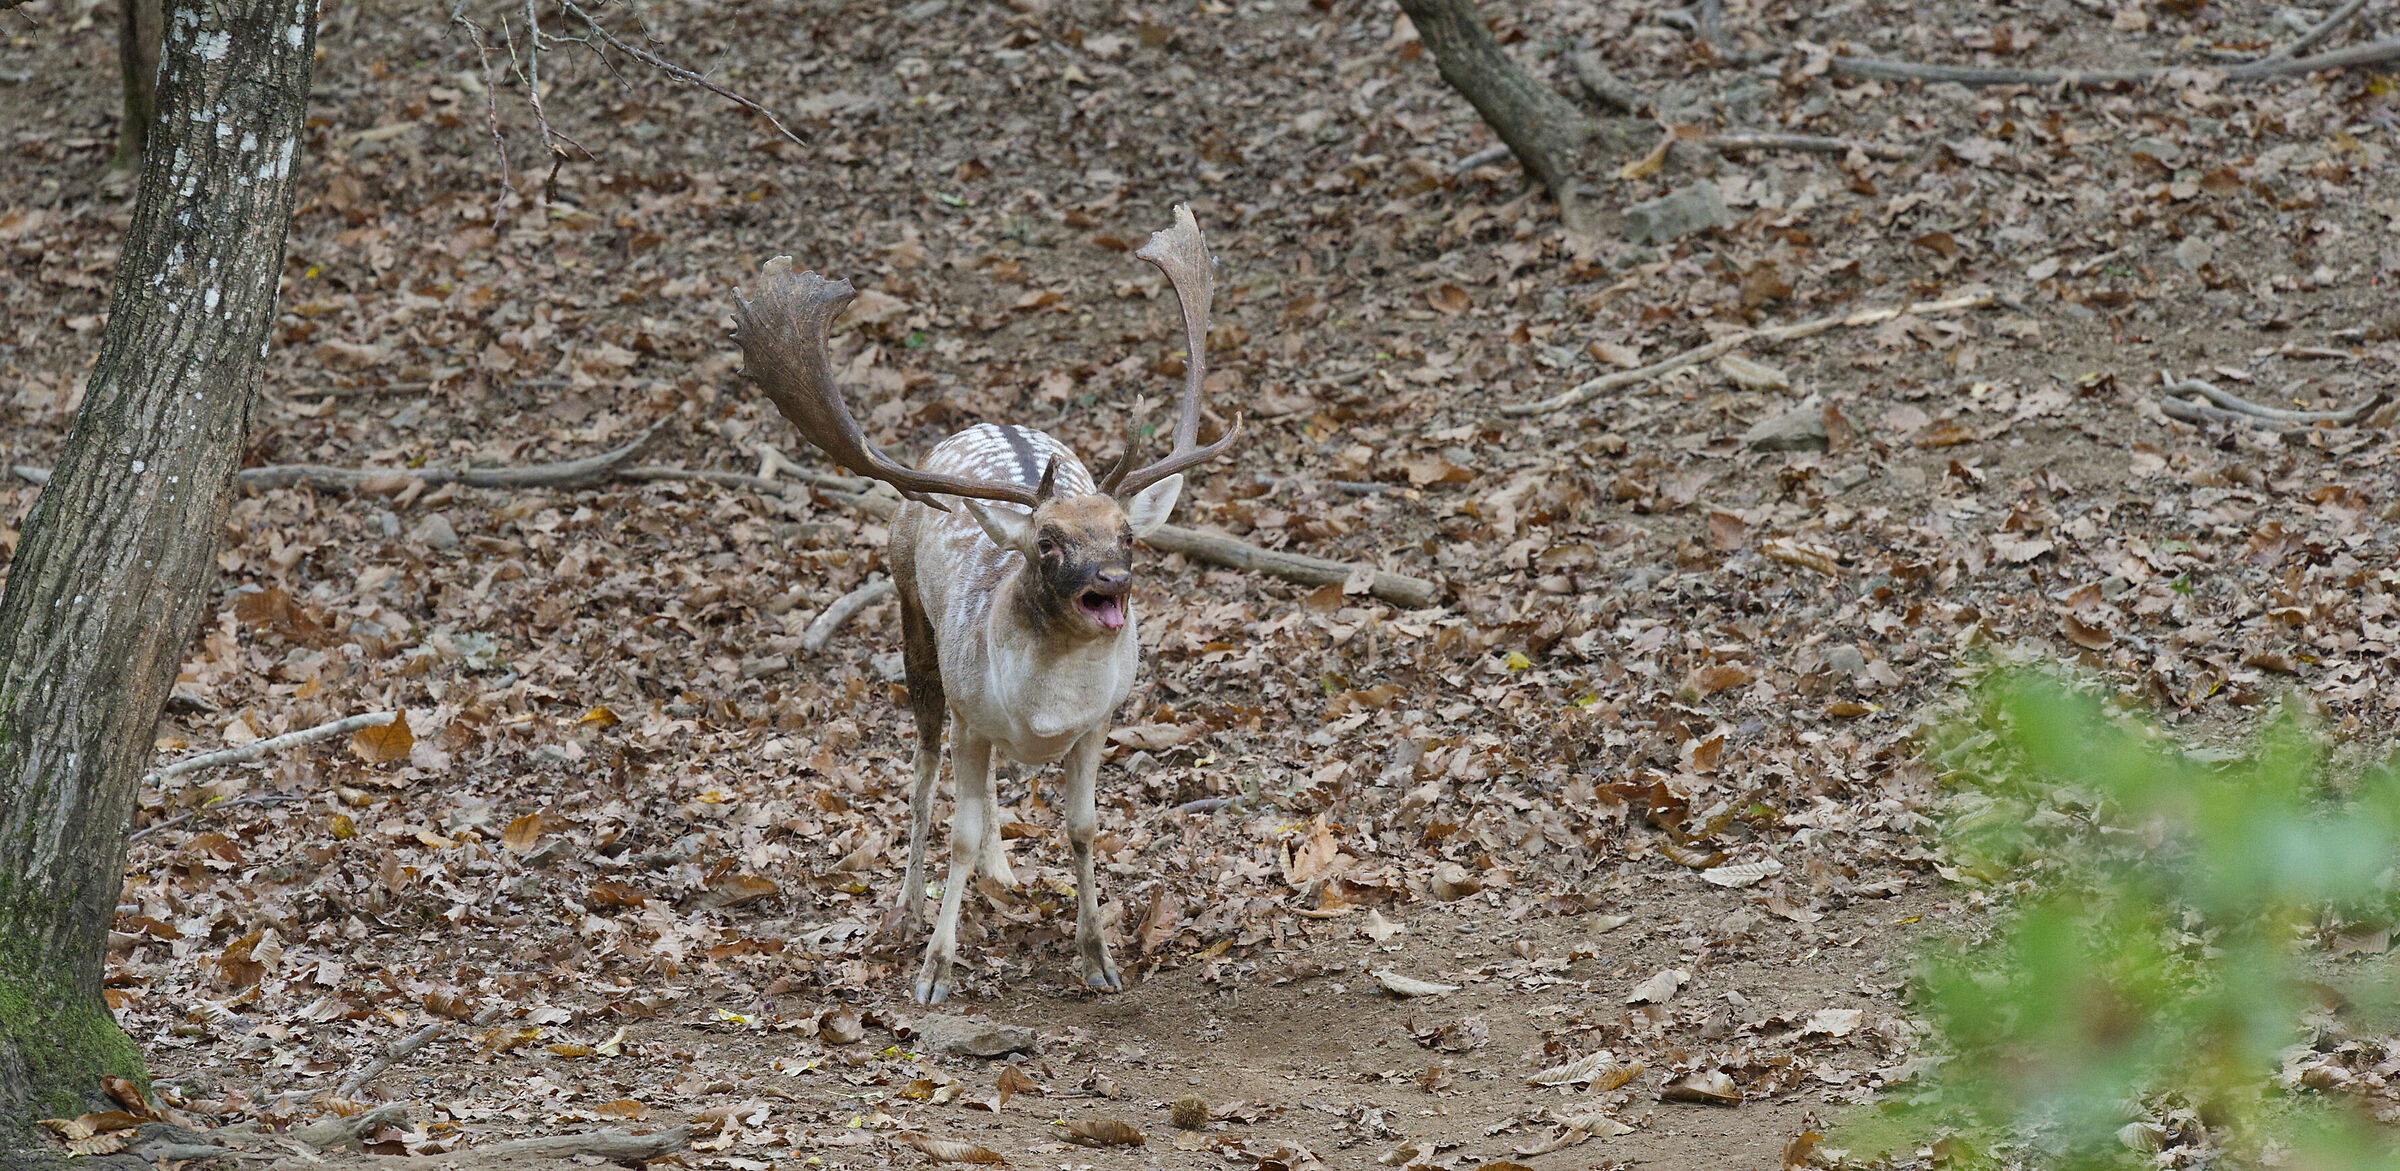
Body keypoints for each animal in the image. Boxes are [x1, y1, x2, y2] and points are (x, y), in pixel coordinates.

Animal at [731, 206, 1239, 1004]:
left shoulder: (1099, 722)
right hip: (914, 619)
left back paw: (1003, 871)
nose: (1113, 581)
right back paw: (908, 906)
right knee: (922, 769)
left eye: (1127, 533)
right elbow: (958, 832)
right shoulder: (972, 711)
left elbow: (1084, 827)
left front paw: (1098, 957)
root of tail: (981, 423)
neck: (1045, 714)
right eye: (1047, 543)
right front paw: (933, 969)